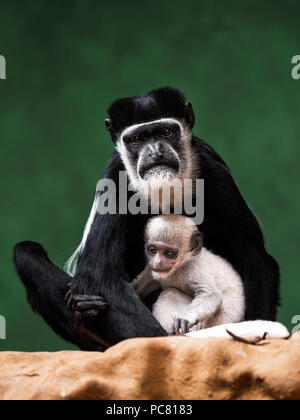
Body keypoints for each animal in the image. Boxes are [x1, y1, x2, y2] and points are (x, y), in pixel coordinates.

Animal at [12, 88, 280, 352]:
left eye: (166, 132)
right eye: (138, 139)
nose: (156, 151)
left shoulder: (213, 169)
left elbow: (254, 258)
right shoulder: (115, 177)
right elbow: (99, 275)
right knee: (27, 253)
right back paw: (87, 323)